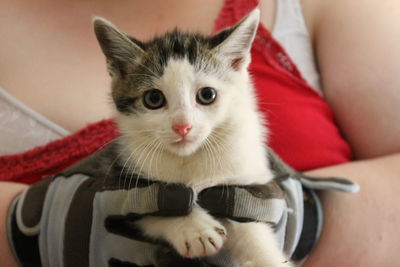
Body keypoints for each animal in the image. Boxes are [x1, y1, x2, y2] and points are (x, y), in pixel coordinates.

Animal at [94, 8, 290, 267]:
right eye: (153, 99)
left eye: (207, 94)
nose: (182, 126)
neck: (190, 161)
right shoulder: (118, 181)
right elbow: (153, 206)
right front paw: (195, 230)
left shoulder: (247, 184)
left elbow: (252, 231)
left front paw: (267, 257)